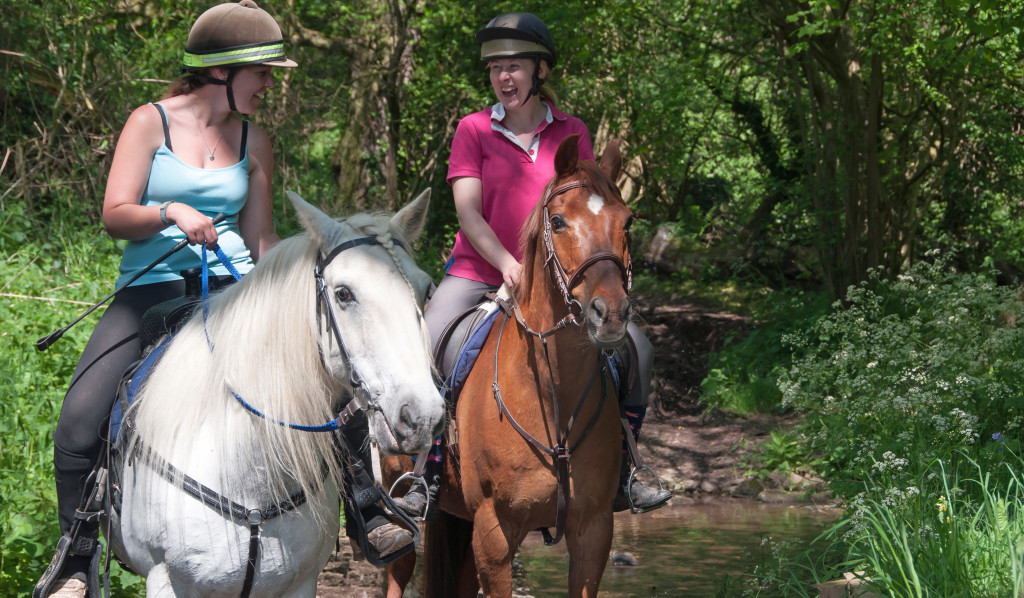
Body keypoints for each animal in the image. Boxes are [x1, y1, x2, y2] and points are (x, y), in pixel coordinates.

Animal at [105, 192, 446, 598]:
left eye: (425, 289)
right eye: (343, 294)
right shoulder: (166, 581)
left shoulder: (299, 584)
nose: (422, 417)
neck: (246, 475)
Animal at [385, 136, 630, 598]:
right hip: (401, 509)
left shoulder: (594, 530)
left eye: (628, 222)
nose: (610, 313)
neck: (552, 394)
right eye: (558, 221)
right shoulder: (494, 531)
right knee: (397, 568)